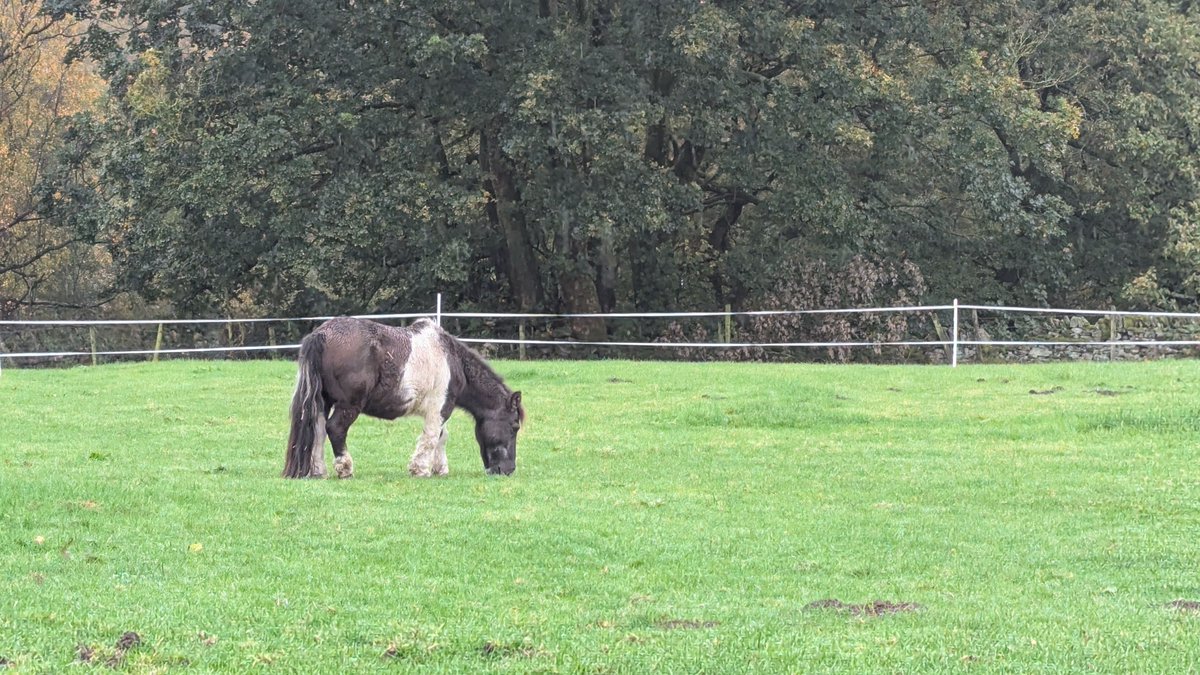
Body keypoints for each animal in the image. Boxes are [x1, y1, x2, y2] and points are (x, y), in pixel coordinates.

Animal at [282, 317, 524, 479]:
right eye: (514, 427)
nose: (508, 470)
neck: (452, 361)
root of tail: (322, 334)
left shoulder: (439, 410)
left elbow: (441, 437)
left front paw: (440, 468)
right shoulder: (439, 408)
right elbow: (431, 437)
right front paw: (421, 469)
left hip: (323, 401)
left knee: (318, 430)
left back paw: (318, 470)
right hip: (348, 405)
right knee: (335, 429)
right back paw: (345, 469)